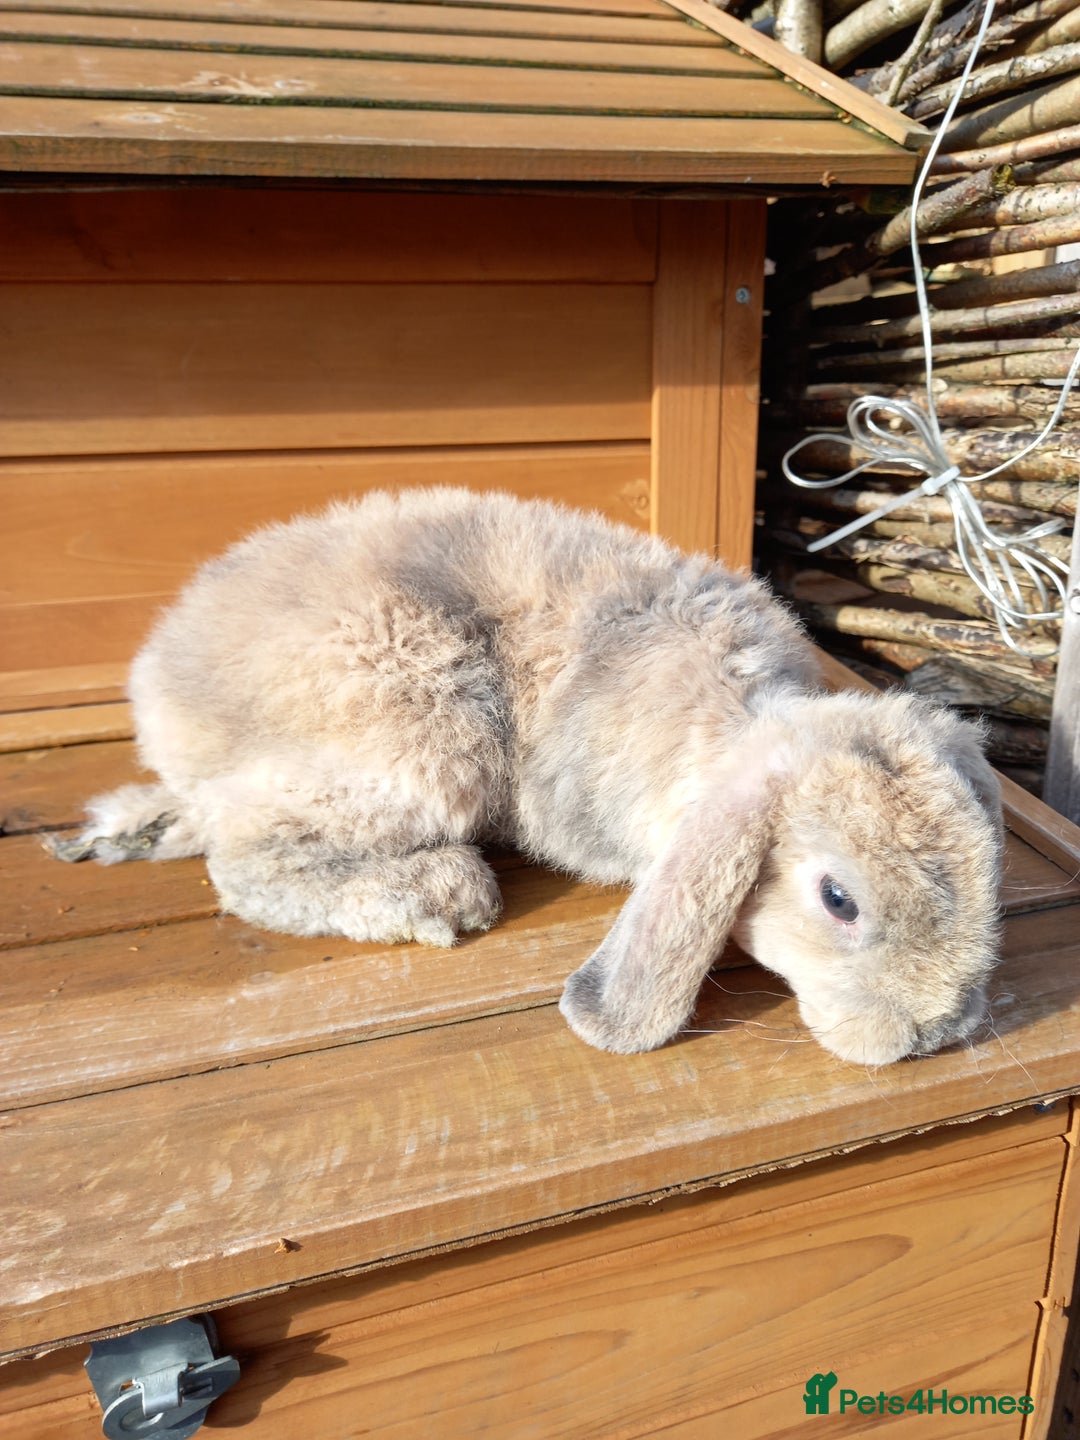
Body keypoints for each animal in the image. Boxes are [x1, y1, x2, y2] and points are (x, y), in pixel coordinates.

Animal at [56, 487, 1004, 1066]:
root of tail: (160, 676)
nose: (935, 1031)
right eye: (838, 900)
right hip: (421, 732)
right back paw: (439, 894)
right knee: (246, 857)